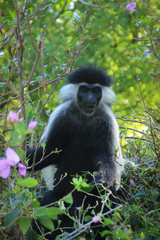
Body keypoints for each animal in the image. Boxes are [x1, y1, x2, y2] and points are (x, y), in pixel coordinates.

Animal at [26, 65, 124, 238]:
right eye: (84, 89)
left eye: (96, 90)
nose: (90, 98)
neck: (85, 116)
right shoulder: (62, 115)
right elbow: (49, 153)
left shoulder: (106, 120)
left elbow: (106, 157)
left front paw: (102, 178)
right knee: (50, 199)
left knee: (107, 198)